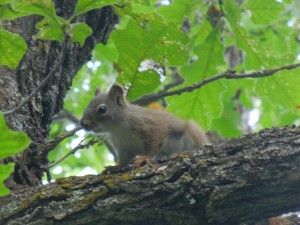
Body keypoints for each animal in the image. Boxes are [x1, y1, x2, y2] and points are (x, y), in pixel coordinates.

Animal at [80, 85, 209, 171]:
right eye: (87, 105)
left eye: (102, 109)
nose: (83, 124)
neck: (118, 129)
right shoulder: (123, 146)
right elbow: (125, 159)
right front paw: (116, 166)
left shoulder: (150, 126)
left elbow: (154, 143)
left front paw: (144, 158)